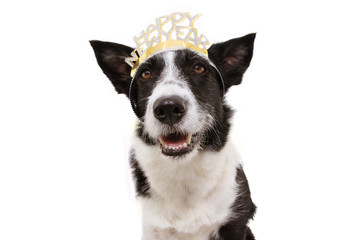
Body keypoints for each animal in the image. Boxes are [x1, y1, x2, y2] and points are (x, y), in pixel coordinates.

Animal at [90, 13, 256, 240]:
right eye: (145, 74)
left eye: (198, 68)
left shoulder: (235, 222)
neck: (183, 171)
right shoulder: (153, 228)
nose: (168, 108)